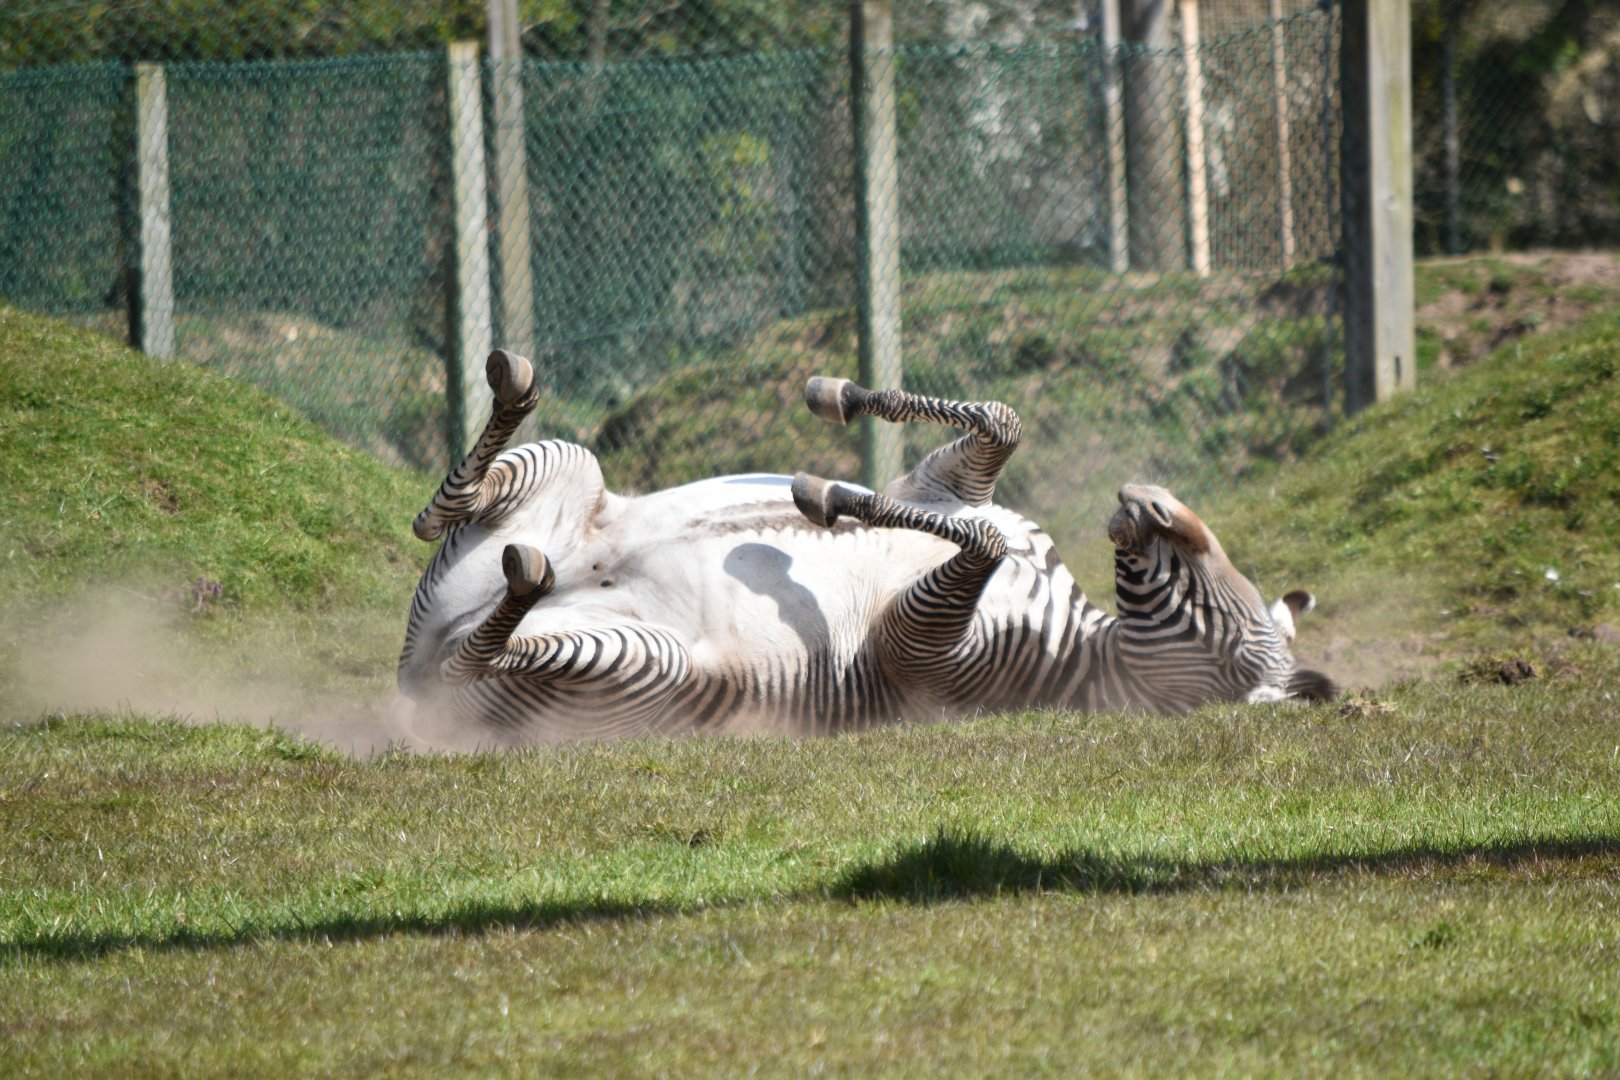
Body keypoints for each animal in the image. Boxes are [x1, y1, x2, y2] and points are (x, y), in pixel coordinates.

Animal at [393, 350, 1334, 744]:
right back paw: (512, 391)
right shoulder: (946, 481)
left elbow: (981, 538)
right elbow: (1002, 423)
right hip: (569, 471)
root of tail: (410, 672)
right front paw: (836, 395)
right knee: (435, 524)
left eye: (1228, 633)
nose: (1145, 497)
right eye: (1224, 590)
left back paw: (521, 589)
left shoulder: (913, 652)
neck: (1086, 642)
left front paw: (828, 494)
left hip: (654, 665)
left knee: (471, 658)